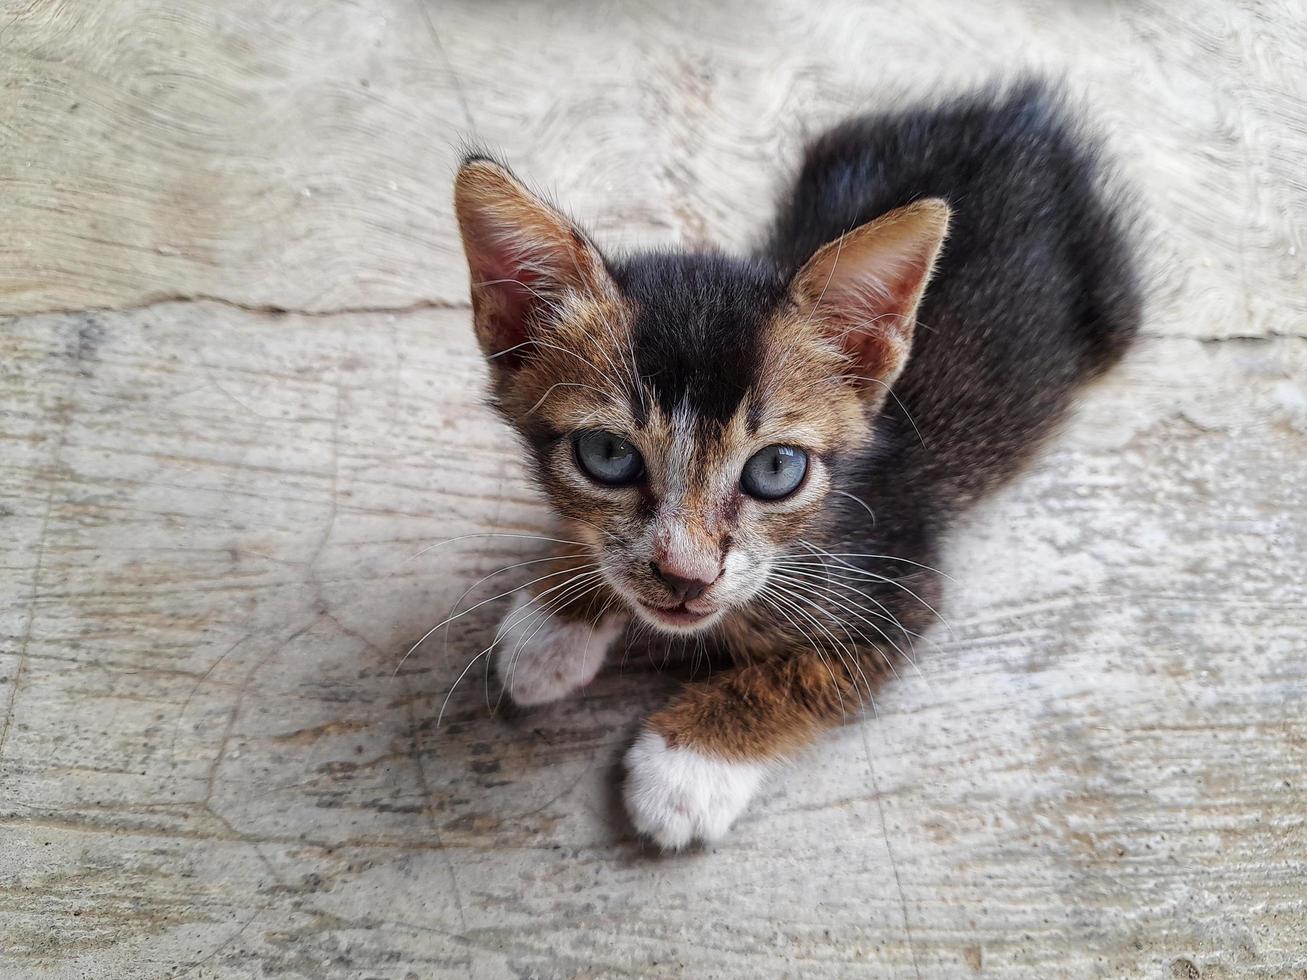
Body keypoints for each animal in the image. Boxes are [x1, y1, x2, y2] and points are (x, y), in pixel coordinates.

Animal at [454, 82, 1139, 851]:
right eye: (607, 457)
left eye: (776, 469)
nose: (685, 576)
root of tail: (1024, 110)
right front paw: (552, 624)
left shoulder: (900, 581)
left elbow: (807, 674)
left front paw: (687, 769)